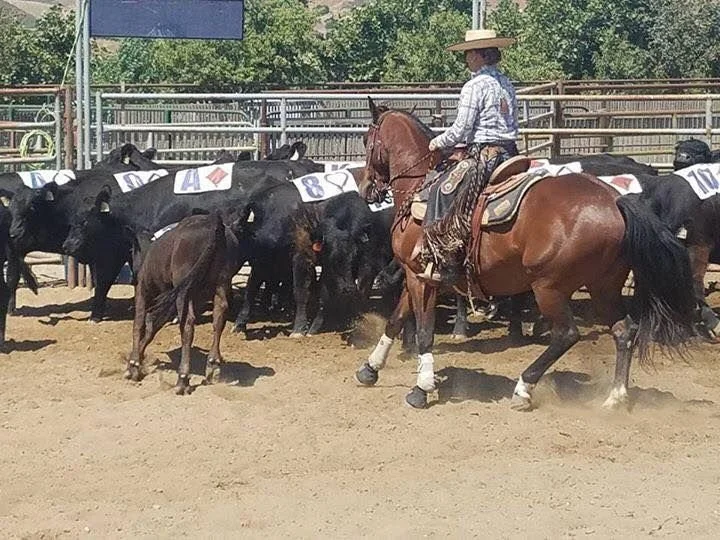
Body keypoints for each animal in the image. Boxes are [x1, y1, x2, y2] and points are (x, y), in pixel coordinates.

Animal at [125, 213, 240, 395]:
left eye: (131, 250)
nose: (131, 278)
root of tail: (215, 224)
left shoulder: (143, 290)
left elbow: (139, 324)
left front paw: (134, 365)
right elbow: (152, 327)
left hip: (184, 289)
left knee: (188, 325)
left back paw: (182, 379)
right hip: (222, 282)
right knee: (219, 316)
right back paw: (213, 365)